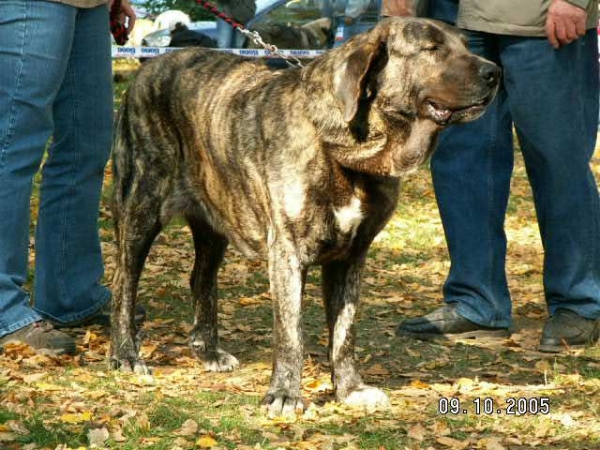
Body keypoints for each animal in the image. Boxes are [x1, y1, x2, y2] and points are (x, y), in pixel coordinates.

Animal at [110, 18, 500, 418]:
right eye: (432, 48)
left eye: (465, 44)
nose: (494, 72)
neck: (348, 147)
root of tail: (150, 66)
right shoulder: (287, 253)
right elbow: (291, 331)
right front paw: (285, 393)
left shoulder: (351, 257)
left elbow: (344, 332)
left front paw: (350, 389)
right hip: (140, 208)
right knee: (124, 282)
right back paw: (126, 355)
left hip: (215, 218)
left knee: (200, 278)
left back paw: (209, 351)